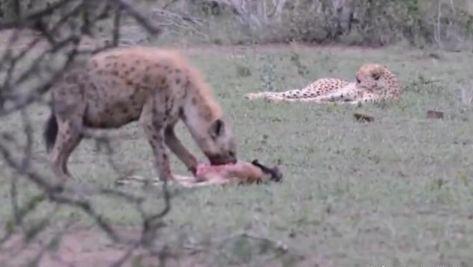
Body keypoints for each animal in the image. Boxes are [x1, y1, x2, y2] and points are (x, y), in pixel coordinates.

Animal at [43, 47, 236, 183]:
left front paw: (195, 172)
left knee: (65, 155)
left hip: (80, 125)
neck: (187, 92)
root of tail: (55, 82)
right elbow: (162, 153)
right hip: (72, 118)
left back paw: (72, 179)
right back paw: (65, 182)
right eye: (231, 151)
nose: (234, 163)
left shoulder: (168, 123)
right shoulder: (153, 116)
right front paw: (170, 180)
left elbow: (181, 150)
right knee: (55, 156)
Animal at [245, 63, 400, 104]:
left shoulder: (356, 102)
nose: (354, 81)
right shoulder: (340, 95)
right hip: (313, 90)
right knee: (286, 93)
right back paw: (252, 95)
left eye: (359, 79)